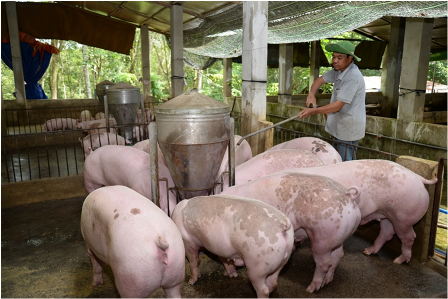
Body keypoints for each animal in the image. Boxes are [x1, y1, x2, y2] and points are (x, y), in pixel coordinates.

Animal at [222, 172, 362, 294]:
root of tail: (348, 195)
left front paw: (229, 272)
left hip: (323, 237)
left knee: (324, 263)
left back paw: (311, 289)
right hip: (338, 235)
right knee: (338, 255)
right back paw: (327, 281)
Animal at [280, 159, 438, 264]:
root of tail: (419, 178)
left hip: (403, 217)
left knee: (409, 236)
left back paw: (399, 261)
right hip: (388, 213)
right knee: (387, 232)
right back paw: (368, 251)